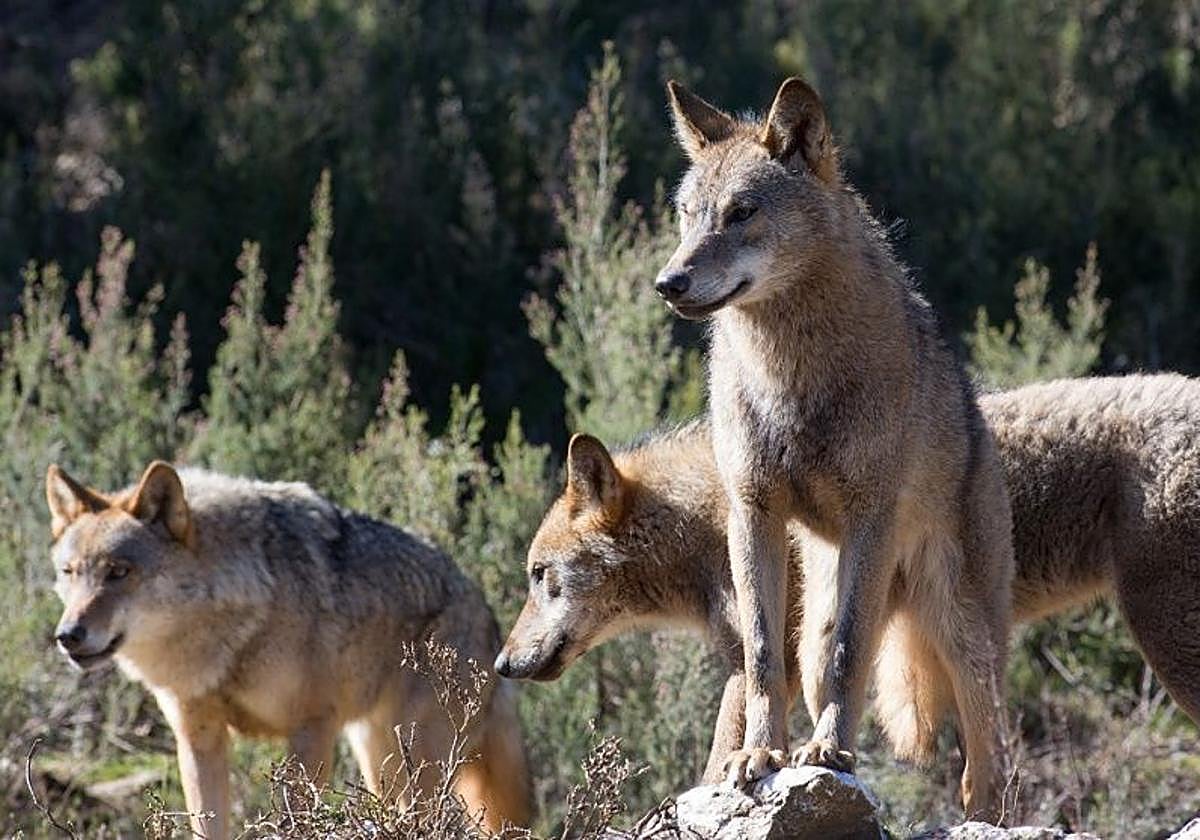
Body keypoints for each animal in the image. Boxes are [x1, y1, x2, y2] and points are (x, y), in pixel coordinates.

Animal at [46, 461, 531, 839]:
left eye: (119, 572)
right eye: (69, 573)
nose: (68, 635)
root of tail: (488, 615)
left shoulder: (311, 729)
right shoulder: (199, 738)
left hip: (416, 770)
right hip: (381, 764)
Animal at [497, 374, 1200, 792]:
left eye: (538, 576)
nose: (502, 664)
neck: (706, 519)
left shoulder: (760, 665)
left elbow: (716, 761)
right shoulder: (771, 665)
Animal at [653, 77, 1014, 818]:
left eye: (741, 213)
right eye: (687, 215)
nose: (668, 283)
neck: (790, 375)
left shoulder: (870, 515)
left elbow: (853, 653)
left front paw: (826, 755)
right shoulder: (752, 514)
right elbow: (762, 658)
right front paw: (758, 756)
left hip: (962, 633)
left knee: (986, 765)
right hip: (822, 611)